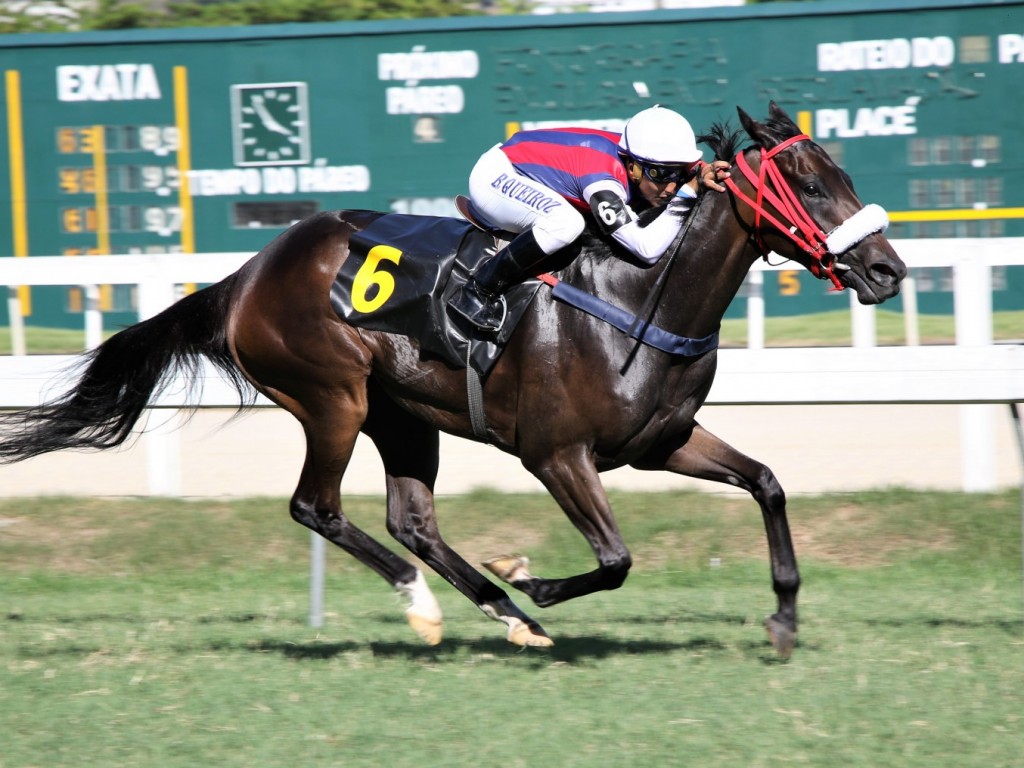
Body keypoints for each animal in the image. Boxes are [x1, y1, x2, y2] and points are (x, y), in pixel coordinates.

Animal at [0, 103, 905, 663]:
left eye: (843, 175)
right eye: (812, 184)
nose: (887, 270)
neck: (637, 292)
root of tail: (247, 275)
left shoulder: (664, 442)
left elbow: (768, 484)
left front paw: (783, 617)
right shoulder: (556, 454)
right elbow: (614, 558)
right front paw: (533, 577)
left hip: (404, 416)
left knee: (412, 520)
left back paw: (503, 615)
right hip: (332, 398)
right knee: (317, 507)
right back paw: (431, 604)